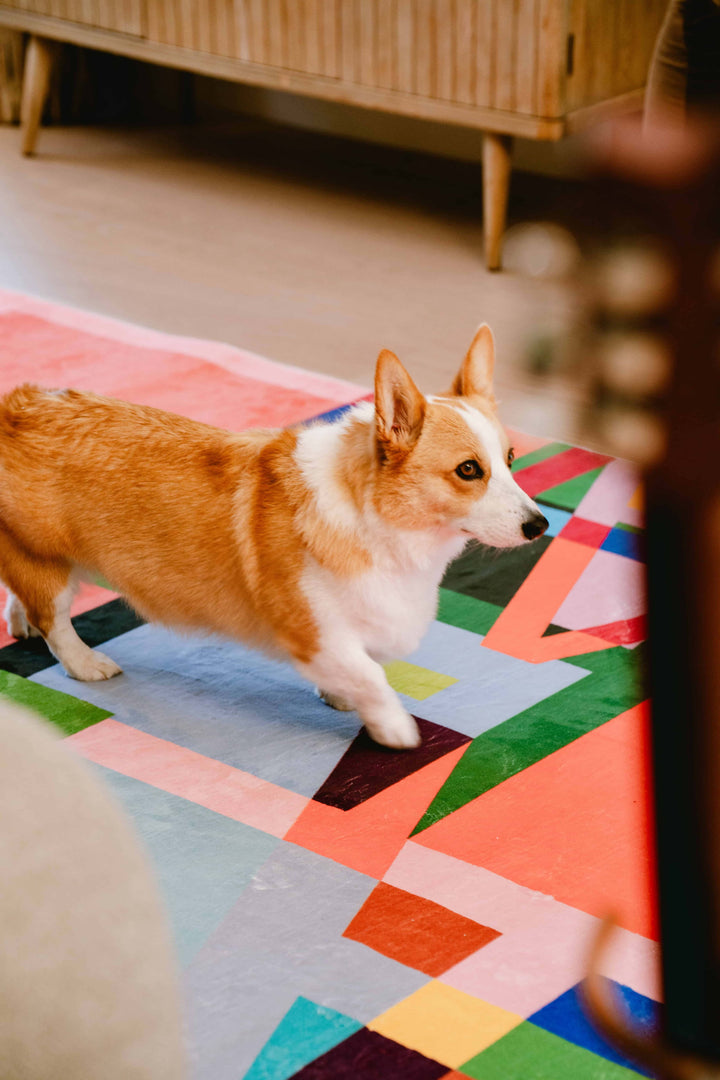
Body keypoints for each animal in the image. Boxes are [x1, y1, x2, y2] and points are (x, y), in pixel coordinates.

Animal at [0, 326, 546, 751]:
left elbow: (359, 668)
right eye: (468, 470)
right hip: (46, 561)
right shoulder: (311, 628)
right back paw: (86, 663)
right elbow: (370, 676)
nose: (540, 526)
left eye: (511, 458)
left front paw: (342, 697)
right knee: (55, 620)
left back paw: (19, 622)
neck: (383, 521)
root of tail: (15, 405)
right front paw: (394, 729)